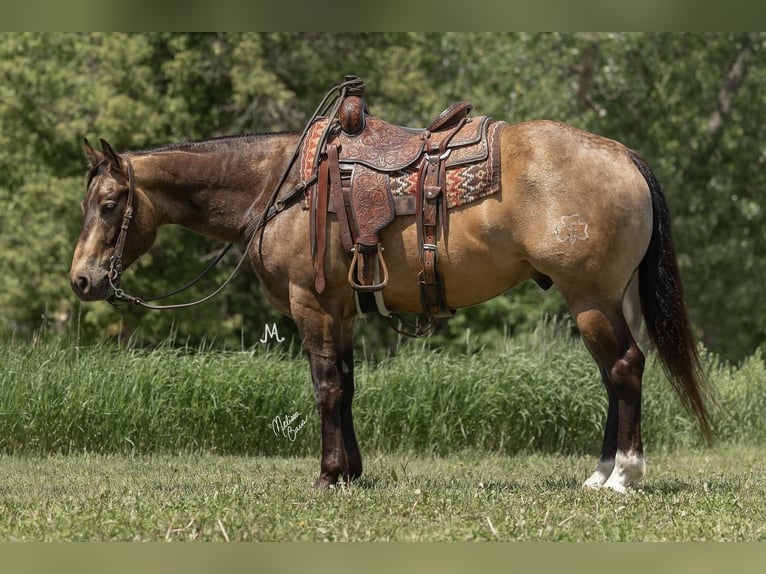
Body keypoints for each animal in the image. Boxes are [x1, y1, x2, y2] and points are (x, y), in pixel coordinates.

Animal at [72, 76, 712, 492]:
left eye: (108, 205)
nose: (82, 280)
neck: (279, 187)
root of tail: (622, 154)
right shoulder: (340, 310)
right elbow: (348, 386)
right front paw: (351, 472)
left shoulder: (311, 305)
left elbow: (326, 387)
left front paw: (329, 476)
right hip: (607, 298)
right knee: (612, 375)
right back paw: (600, 473)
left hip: (590, 298)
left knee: (625, 367)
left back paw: (623, 475)